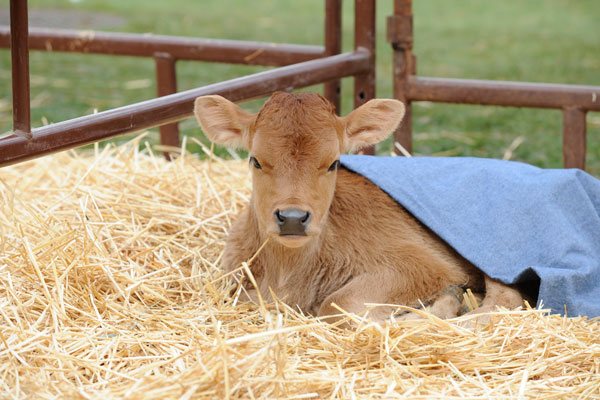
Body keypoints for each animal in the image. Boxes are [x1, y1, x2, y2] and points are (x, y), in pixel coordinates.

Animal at [195, 93, 524, 324]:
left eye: (333, 163)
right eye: (256, 160)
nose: (292, 218)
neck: (288, 271)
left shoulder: (423, 265)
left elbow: (337, 305)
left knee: (506, 297)